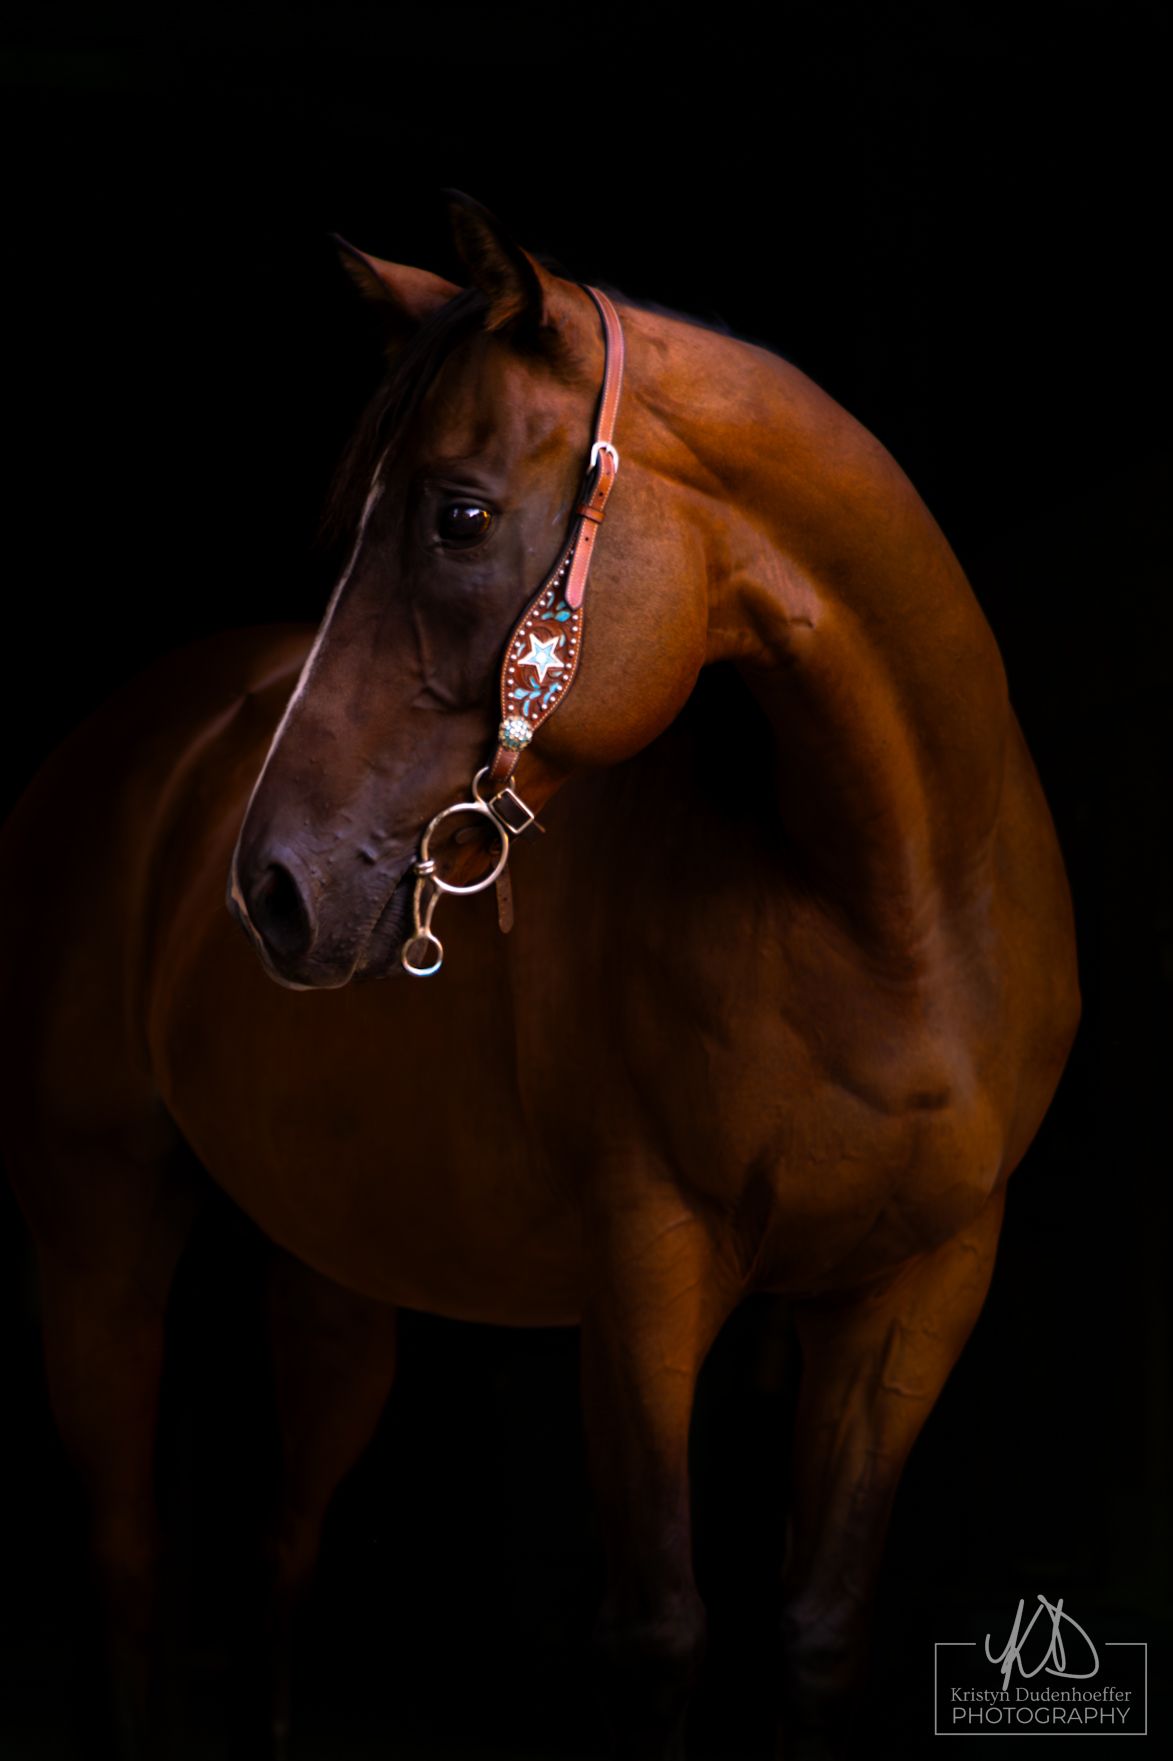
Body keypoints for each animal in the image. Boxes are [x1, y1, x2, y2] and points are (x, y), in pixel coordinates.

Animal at [0, 189, 1080, 1759]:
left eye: (457, 514)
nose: (272, 890)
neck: (894, 911)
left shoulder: (916, 1292)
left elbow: (818, 1626)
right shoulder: (645, 1283)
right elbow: (662, 1629)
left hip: (329, 1268)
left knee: (279, 1555)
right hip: (99, 1236)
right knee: (130, 1562)